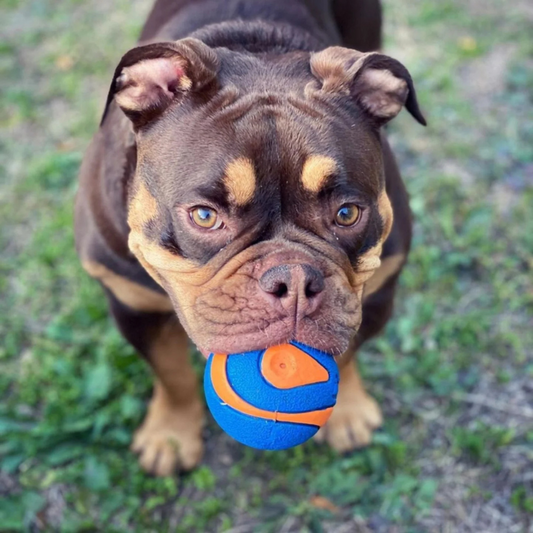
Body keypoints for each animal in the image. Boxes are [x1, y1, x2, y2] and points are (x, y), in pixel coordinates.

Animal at [74, 0, 424, 474]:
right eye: (204, 216)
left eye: (347, 213)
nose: (294, 279)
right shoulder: (133, 304)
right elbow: (171, 374)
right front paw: (170, 436)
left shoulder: (375, 293)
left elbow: (348, 352)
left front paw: (348, 414)